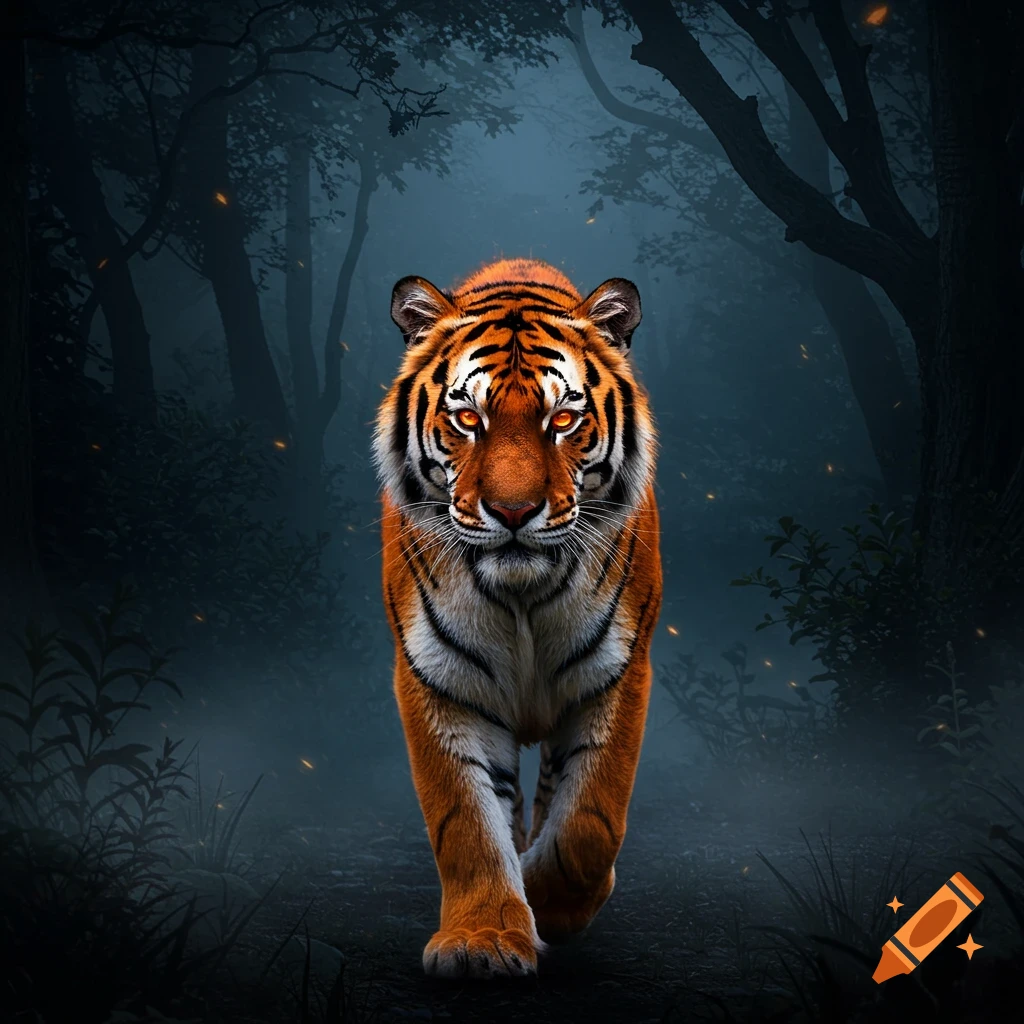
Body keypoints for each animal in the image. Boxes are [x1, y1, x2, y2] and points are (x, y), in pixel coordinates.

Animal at [372, 257, 662, 979]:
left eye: (563, 418)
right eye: (466, 417)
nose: (511, 511)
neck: (523, 596)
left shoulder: (617, 671)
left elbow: (590, 820)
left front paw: (550, 903)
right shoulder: (438, 680)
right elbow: (466, 823)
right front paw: (482, 941)